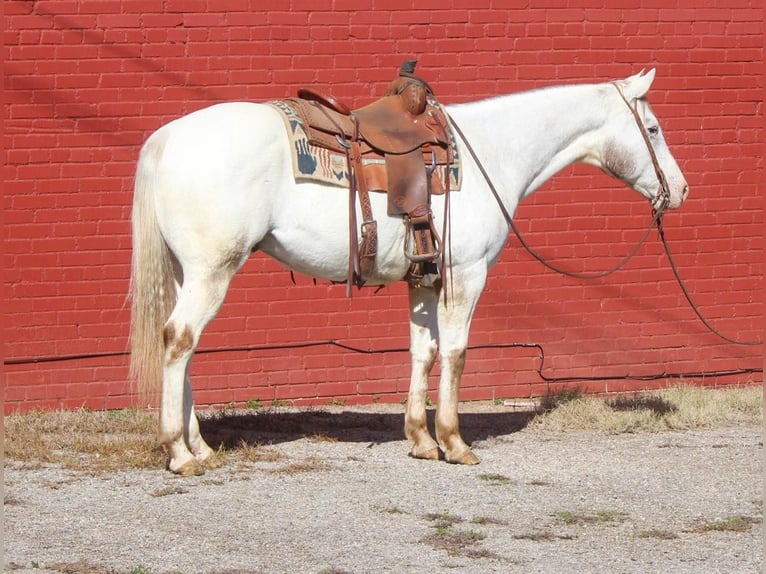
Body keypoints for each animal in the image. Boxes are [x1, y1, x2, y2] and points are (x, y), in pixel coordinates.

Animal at [130, 70, 688, 476]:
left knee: (184, 347)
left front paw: (421, 439)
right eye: (654, 129)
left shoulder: (424, 280)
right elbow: (457, 354)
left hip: (187, 272)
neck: (492, 152)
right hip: (212, 271)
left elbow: (424, 351)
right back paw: (179, 453)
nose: (680, 190)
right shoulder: (465, 276)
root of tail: (167, 137)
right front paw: (454, 443)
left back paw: (200, 447)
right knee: (179, 341)